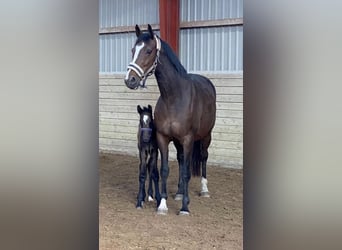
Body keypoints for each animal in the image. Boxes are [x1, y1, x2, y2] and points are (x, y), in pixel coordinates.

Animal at [125, 23, 216, 215]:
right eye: (133, 50)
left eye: (149, 51)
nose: (130, 80)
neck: (174, 97)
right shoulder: (164, 138)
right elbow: (165, 169)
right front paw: (162, 204)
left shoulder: (188, 139)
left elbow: (187, 172)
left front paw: (185, 208)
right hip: (178, 142)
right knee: (181, 161)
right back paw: (180, 193)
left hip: (206, 136)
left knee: (203, 157)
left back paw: (204, 190)